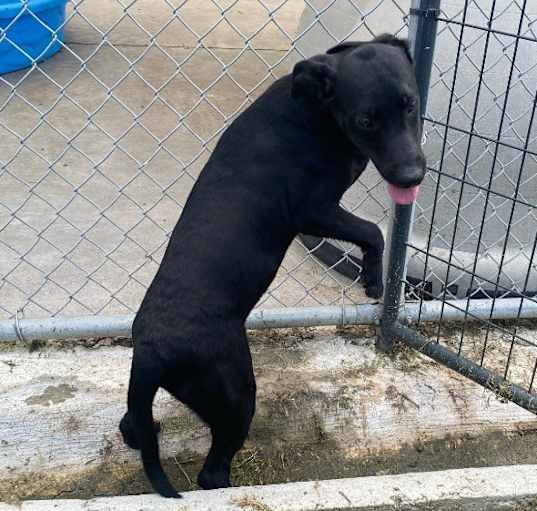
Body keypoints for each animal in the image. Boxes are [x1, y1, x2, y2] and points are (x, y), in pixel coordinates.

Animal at [119, 34, 426, 498]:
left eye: (410, 104)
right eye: (366, 120)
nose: (411, 178)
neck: (317, 108)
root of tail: (151, 349)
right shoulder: (312, 211)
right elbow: (374, 231)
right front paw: (373, 280)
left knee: (131, 425)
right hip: (235, 394)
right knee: (212, 472)